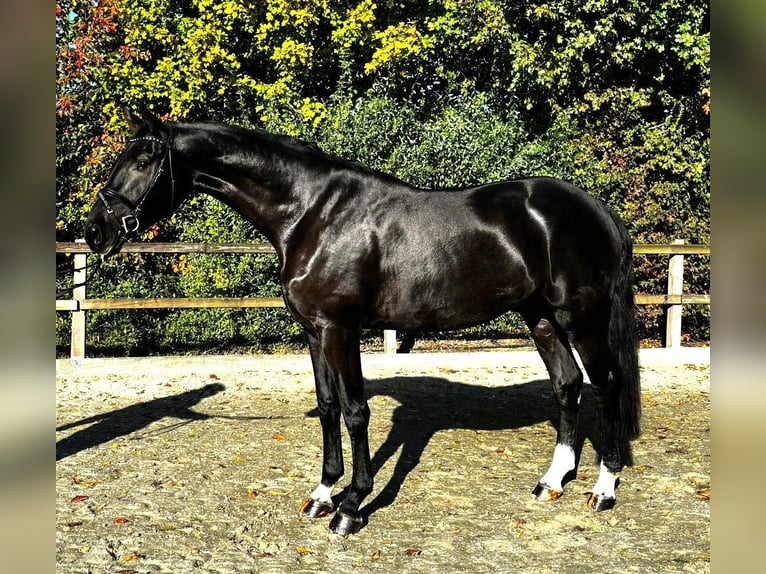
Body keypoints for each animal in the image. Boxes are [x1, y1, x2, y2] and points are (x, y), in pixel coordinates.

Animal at [84, 109, 640, 540]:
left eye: (142, 161)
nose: (95, 231)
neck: (312, 214)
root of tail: (594, 206)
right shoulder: (314, 331)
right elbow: (328, 407)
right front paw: (321, 495)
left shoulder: (341, 329)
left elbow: (355, 411)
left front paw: (351, 506)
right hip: (541, 316)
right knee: (567, 384)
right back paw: (553, 481)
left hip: (581, 318)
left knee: (607, 384)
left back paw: (603, 489)